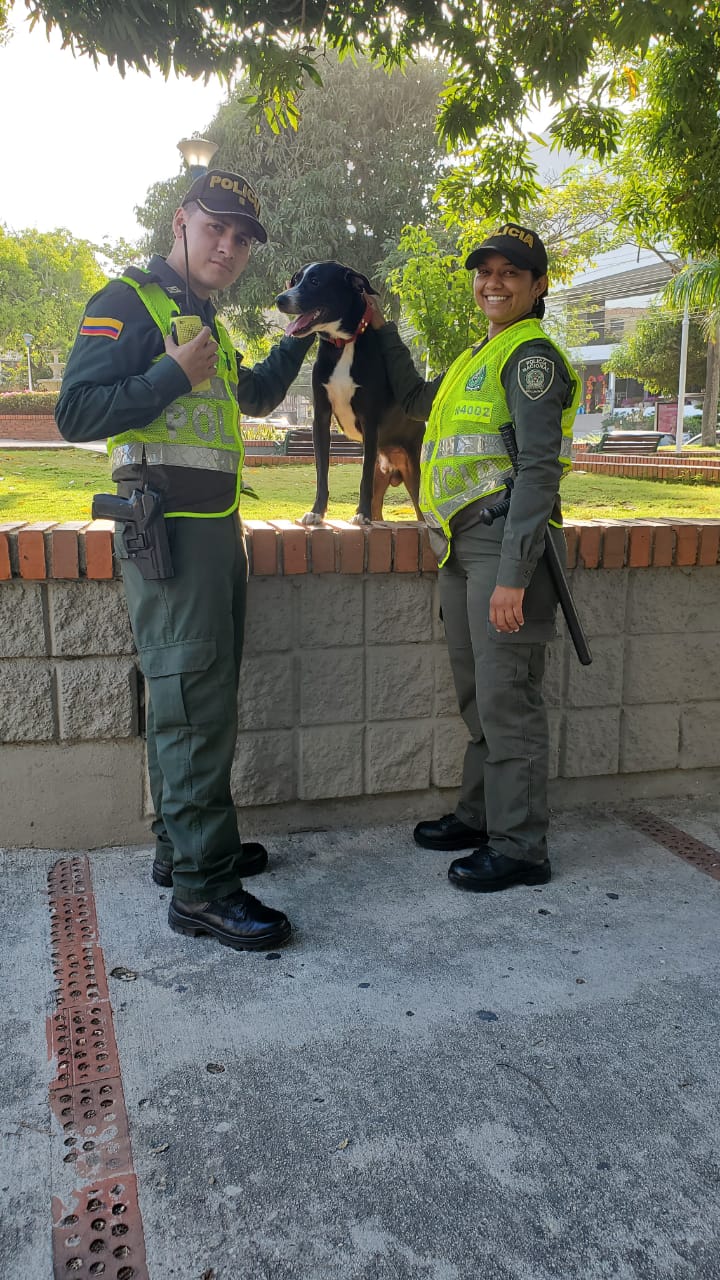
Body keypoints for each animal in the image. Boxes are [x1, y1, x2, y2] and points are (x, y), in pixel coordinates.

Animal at [272, 259, 420, 524]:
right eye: (295, 280)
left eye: (315, 281)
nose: (280, 299)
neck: (343, 345)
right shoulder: (321, 416)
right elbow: (322, 472)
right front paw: (317, 511)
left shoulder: (369, 420)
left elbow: (363, 478)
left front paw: (361, 513)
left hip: (413, 474)